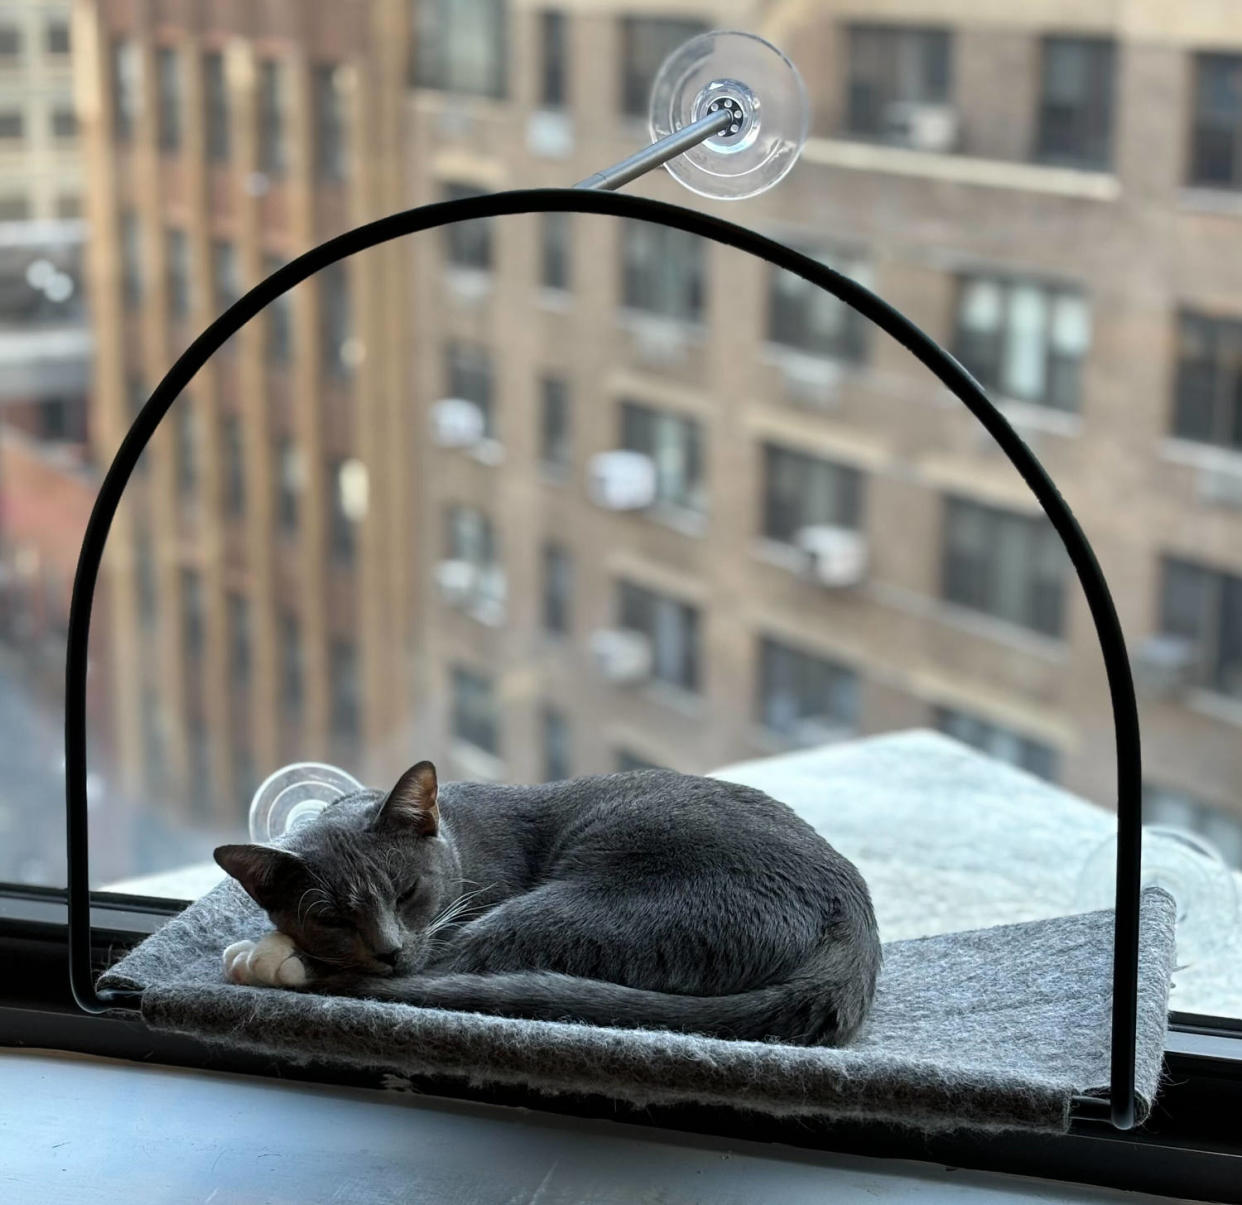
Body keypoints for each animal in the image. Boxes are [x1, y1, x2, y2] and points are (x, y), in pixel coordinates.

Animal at [213, 760, 879, 1043]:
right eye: (330, 917)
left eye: (408, 892)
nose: (389, 949)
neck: (460, 838)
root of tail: (853, 917)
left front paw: (269, 952)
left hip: (573, 909)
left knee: (458, 965)